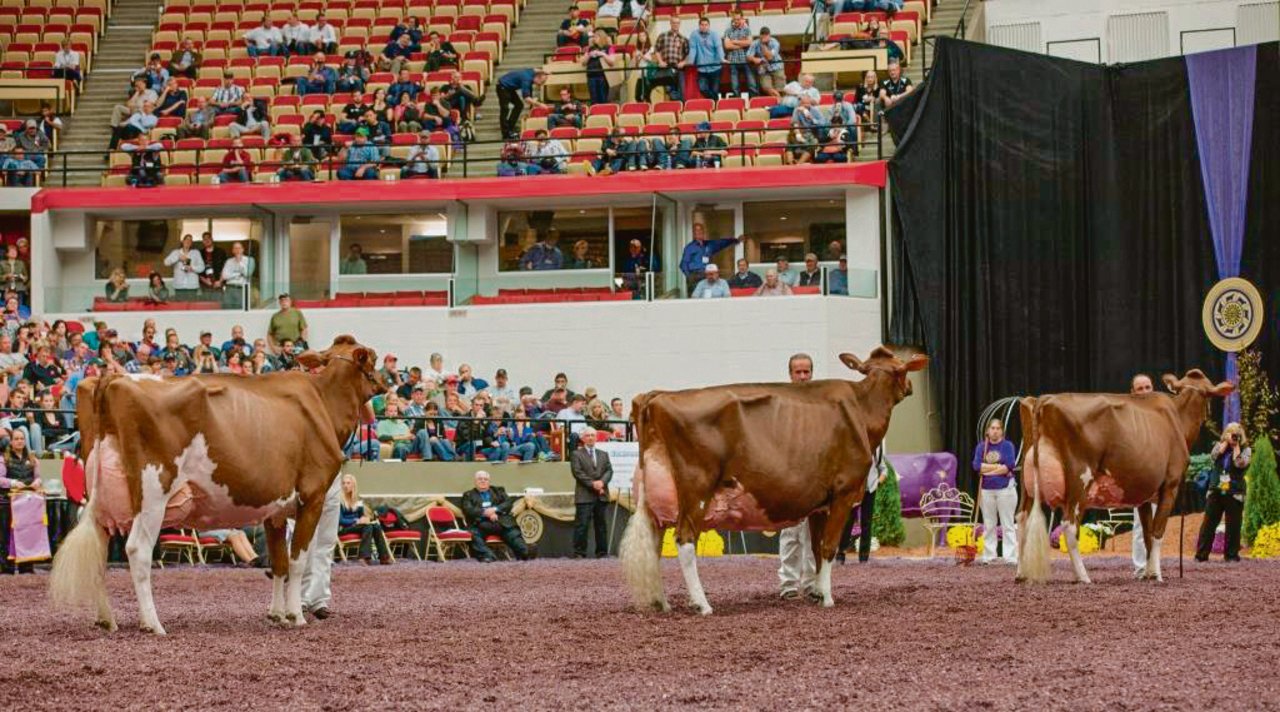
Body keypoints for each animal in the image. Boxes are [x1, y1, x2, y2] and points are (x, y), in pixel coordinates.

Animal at [49, 335, 378, 635]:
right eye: (373, 360)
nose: (385, 384)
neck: (323, 404)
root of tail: (112, 378)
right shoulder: (312, 497)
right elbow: (297, 562)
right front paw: (296, 615)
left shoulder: (275, 510)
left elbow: (279, 563)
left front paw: (277, 615)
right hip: (153, 493)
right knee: (138, 551)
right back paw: (153, 624)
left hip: (102, 498)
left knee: (99, 550)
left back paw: (106, 619)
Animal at [616, 348, 926, 614]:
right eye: (903, 369)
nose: (911, 386)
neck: (861, 410)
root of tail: (656, 396)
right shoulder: (844, 492)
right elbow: (829, 547)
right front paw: (827, 597)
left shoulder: (820, 505)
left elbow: (815, 548)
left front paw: (815, 592)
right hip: (696, 489)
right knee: (684, 540)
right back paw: (702, 604)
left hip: (655, 498)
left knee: (654, 545)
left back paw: (662, 602)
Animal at [1018, 366, 1228, 583]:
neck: (1177, 417)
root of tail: (1044, 399)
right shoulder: (1170, 485)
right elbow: (1157, 531)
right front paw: (1157, 574)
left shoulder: (1145, 494)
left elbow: (1147, 534)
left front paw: (1148, 574)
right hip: (1079, 480)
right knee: (1069, 526)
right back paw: (1083, 576)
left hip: (1027, 482)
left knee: (1022, 519)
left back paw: (1021, 574)